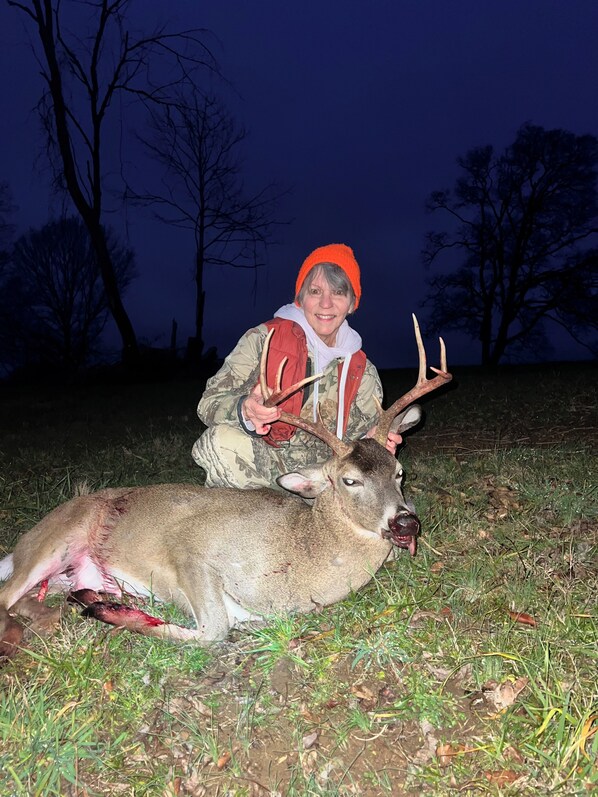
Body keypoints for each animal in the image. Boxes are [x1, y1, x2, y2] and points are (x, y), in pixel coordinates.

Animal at [0, 315, 452, 658]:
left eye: (398, 471)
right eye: (349, 479)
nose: (405, 523)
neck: (298, 556)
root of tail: (21, 544)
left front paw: (101, 604)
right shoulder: (188, 548)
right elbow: (214, 632)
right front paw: (107, 610)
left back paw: (66, 609)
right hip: (59, 536)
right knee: (7, 594)